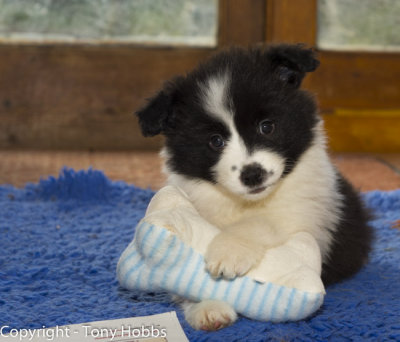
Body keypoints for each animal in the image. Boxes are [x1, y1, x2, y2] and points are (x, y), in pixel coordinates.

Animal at [136, 44, 374, 330]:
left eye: (267, 126)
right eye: (215, 141)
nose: (253, 175)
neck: (244, 203)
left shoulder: (301, 213)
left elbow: (263, 222)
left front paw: (228, 251)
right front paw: (208, 308)